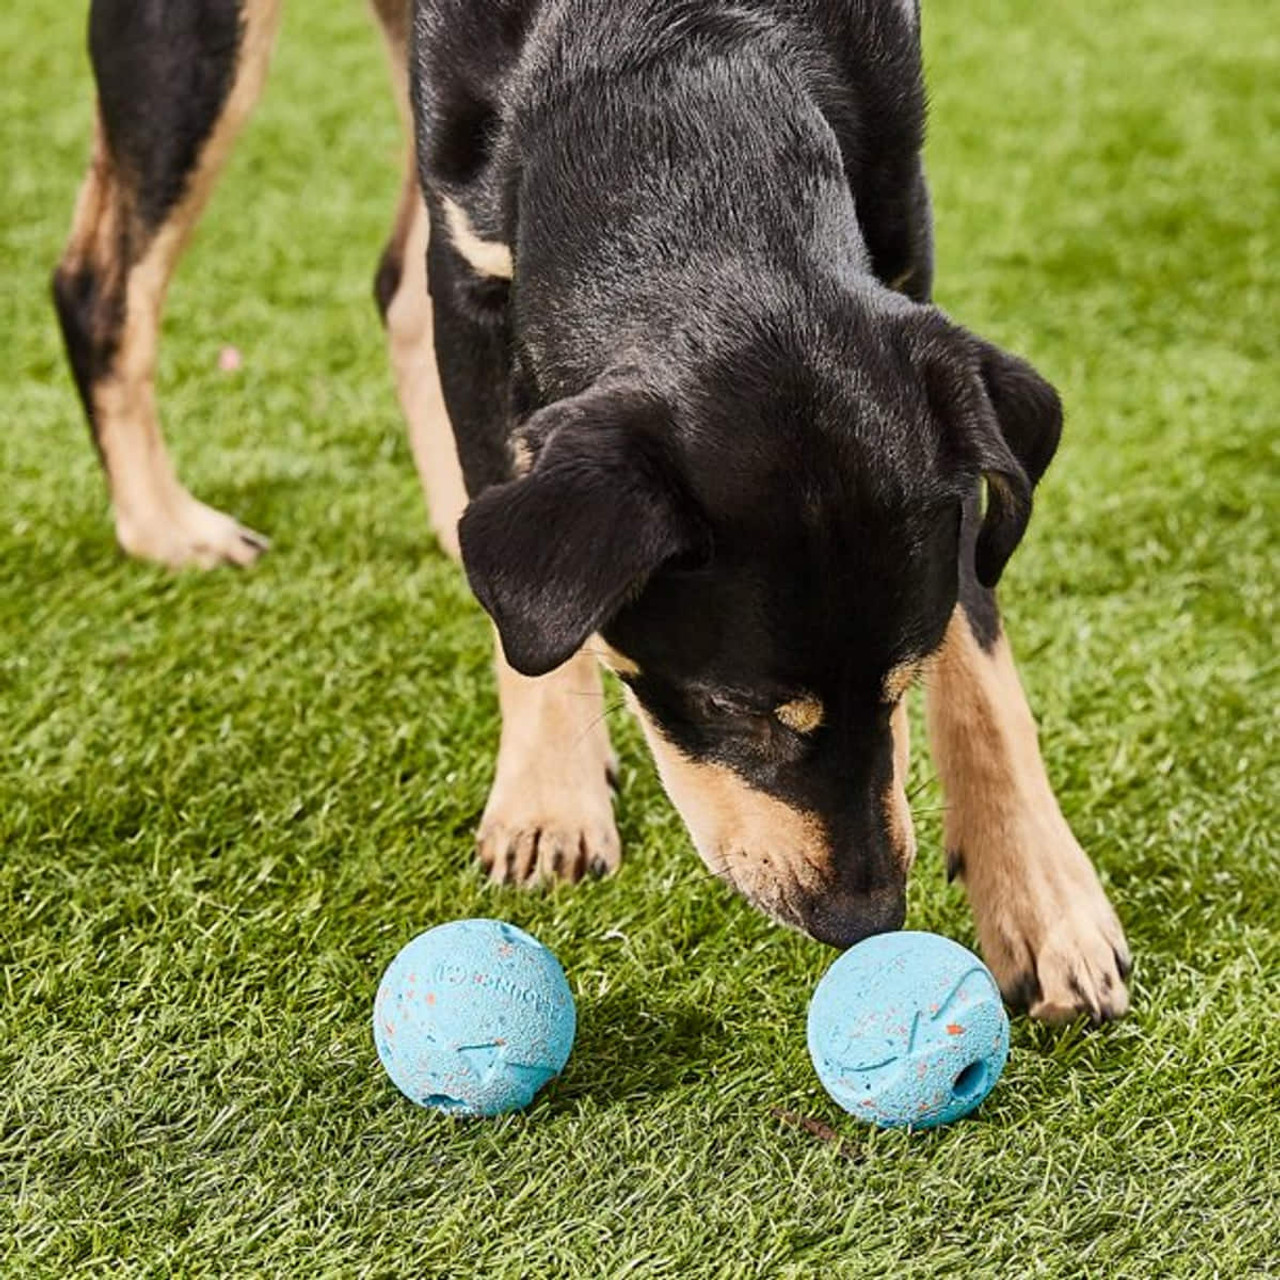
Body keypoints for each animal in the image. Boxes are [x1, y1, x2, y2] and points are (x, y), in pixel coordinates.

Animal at [49, 0, 1131, 1018]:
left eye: (902, 683)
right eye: (730, 710)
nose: (864, 918)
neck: (677, 77)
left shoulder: (906, 252)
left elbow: (979, 645)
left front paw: (1045, 902)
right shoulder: (475, 272)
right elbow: (523, 577)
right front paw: (549, 801)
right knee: (99, 283)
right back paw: (164, 522)